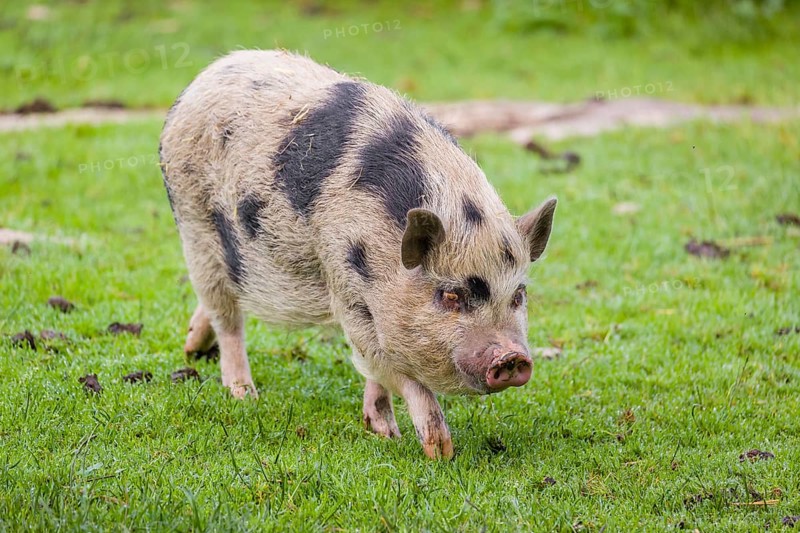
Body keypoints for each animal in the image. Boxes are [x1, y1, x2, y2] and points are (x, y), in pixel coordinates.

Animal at [159, 50, 557, 459]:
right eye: (450, 295)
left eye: (518, 295)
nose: (511, 357)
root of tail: (204, 77)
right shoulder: (346, 284)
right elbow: (386, 364)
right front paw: (439, 451)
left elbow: (374, 370)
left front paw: (384, 432)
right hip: (195, 224)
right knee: (226, 315)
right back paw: (244, 395)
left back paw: (193, 350)